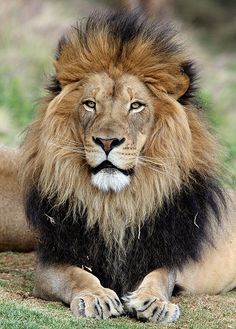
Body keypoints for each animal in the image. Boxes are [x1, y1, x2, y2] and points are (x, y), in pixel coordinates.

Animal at [18, 10, 236, 322]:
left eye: (136, 105)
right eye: (90, 104)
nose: (107, 141)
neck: (116, 205)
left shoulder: (161, 253)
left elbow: (159, 277)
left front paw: (155, 303)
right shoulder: (53, 260)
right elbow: (77, 276)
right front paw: (96, 297)